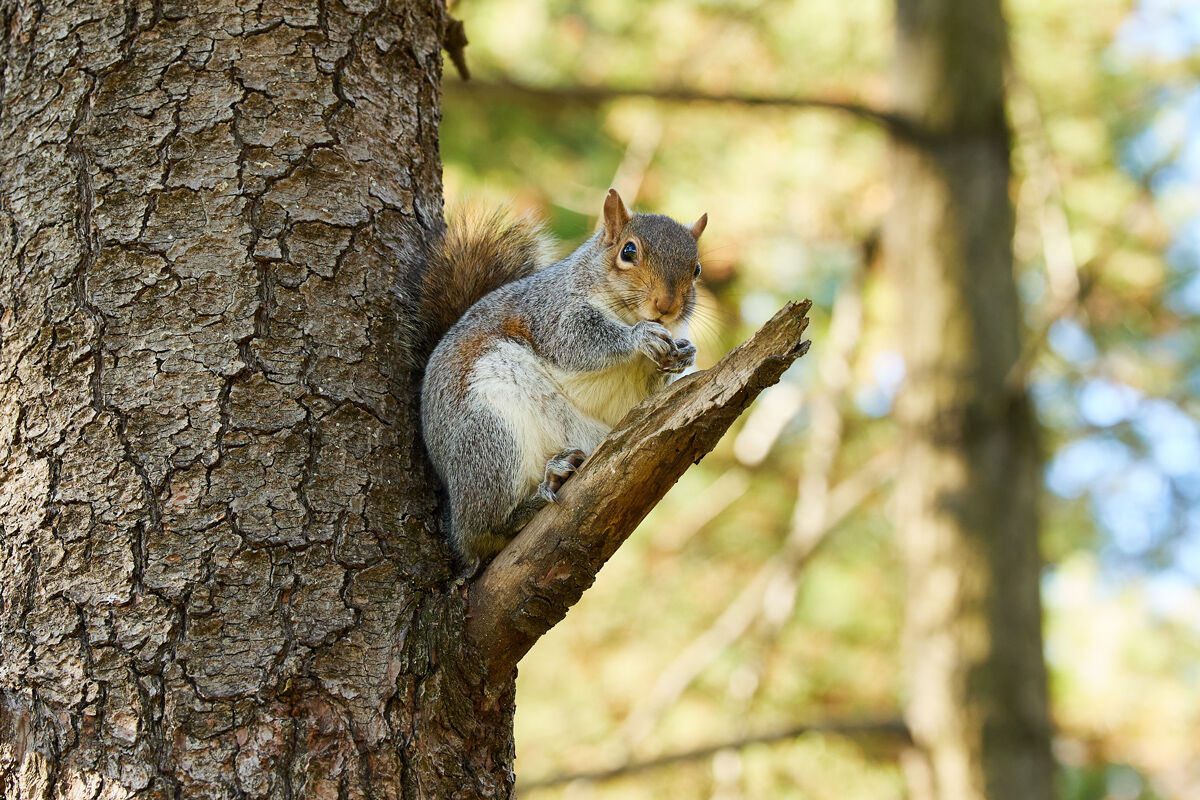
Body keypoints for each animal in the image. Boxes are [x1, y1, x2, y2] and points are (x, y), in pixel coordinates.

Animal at [412, 189, 707, 575]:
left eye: (697, 269)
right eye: (628, 252)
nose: (667, 305)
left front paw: (684, 353)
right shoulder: (552, 313)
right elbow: (575, 341)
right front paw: (640, 336)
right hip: (489, 435)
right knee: (481, 528)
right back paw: (530, 502)